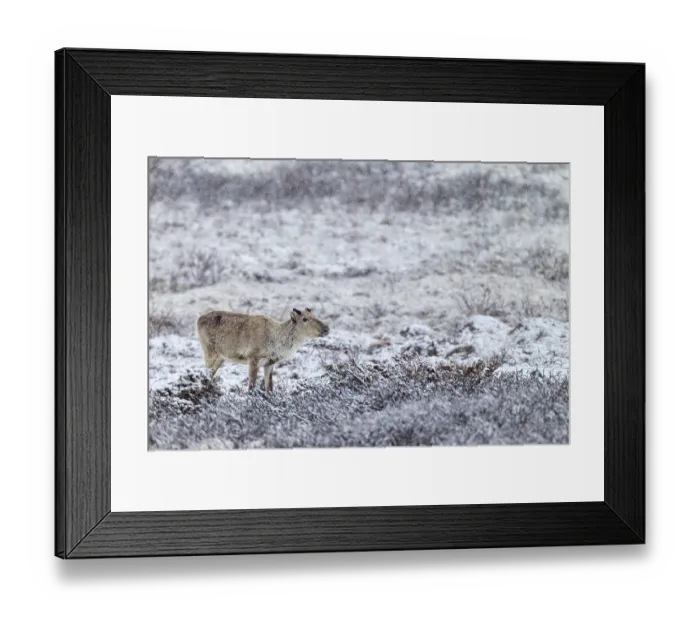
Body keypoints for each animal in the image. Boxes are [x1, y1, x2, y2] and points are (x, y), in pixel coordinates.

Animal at [196, 307, 330, 393]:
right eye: (304, 319)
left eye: (314, 316)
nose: (326, 328)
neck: (276, 342)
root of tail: (198, 320)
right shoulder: (253, 358)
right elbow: (251, 387)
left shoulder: (269, 363)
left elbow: (269, 388)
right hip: (209, 352)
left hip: (220, 358)